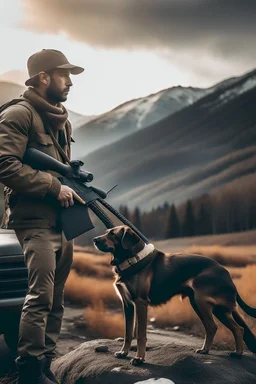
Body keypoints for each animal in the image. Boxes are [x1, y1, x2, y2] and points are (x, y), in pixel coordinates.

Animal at [93, 224, 256, 364]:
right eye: (107, 232)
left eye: (112, 234)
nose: (95, 239)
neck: (130, 260)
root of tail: (226, 273)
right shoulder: (127, 304)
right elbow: (128, 333)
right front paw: (123, 353)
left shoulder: (140, 302)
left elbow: (140, 334)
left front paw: (139, 358)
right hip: (210, 306)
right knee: (234, 328)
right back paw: (216, 351)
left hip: (203, 302)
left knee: (216, 326)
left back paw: (233, 353)